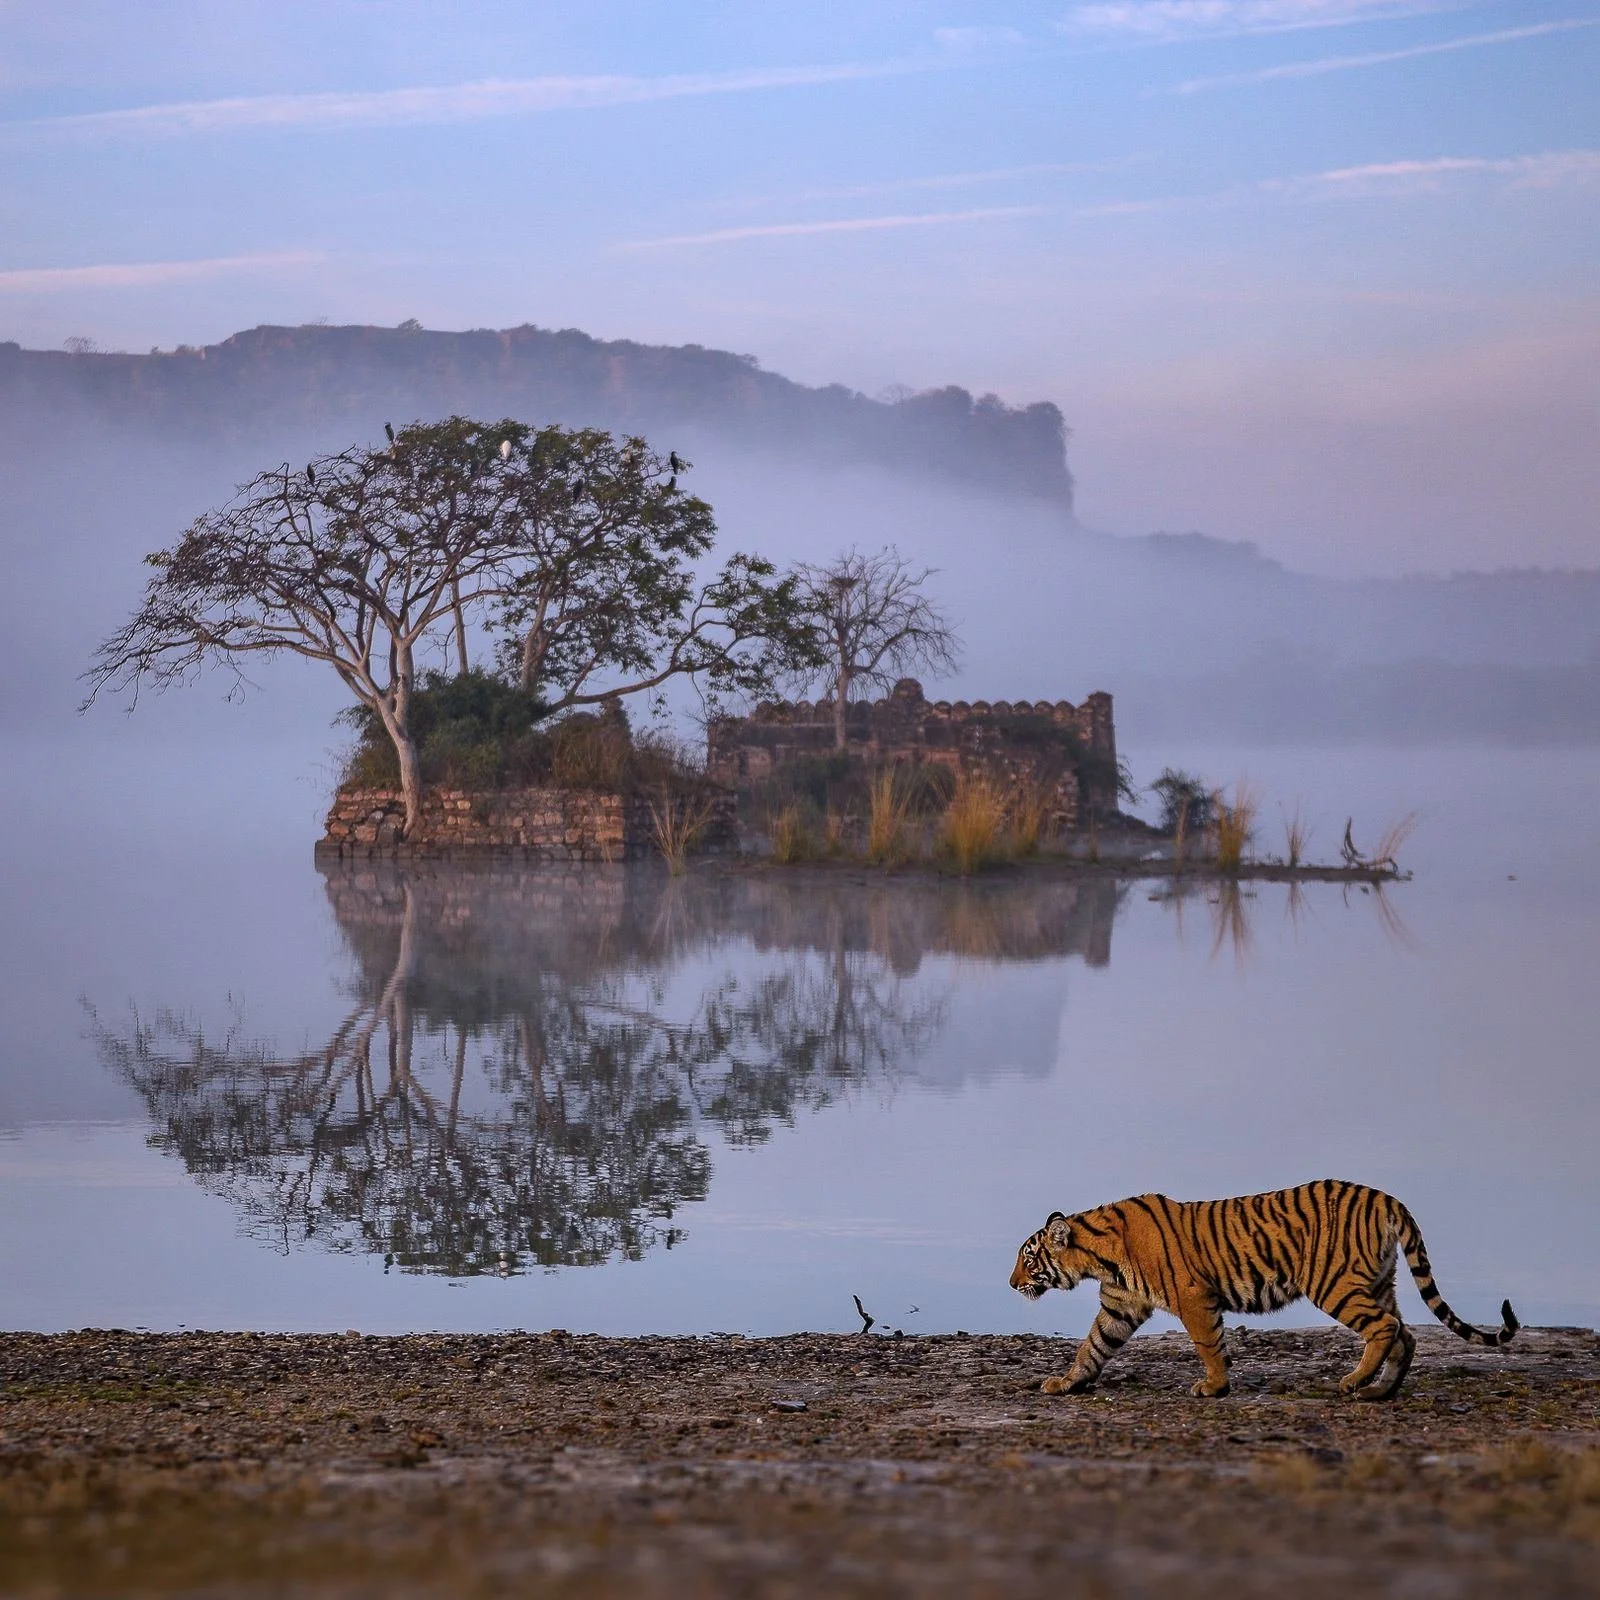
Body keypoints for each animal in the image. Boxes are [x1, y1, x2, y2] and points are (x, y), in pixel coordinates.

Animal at [1009, 1178, 1517, 1401]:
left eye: (1028, 1259)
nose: (1012, 1284)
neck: (1100, 1257)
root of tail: (1387, 1197)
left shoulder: (1194, 1298)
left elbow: (1209, 1344)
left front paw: (1214, 1387)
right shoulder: (1120, 1306)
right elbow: (1092, 1346)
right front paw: (1067, 1382)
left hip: (1334, 1284)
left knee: (1385, 1327)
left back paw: (1353, 1382)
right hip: (1377, 1281)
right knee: (1405, 1333)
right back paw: (1380, 1390)